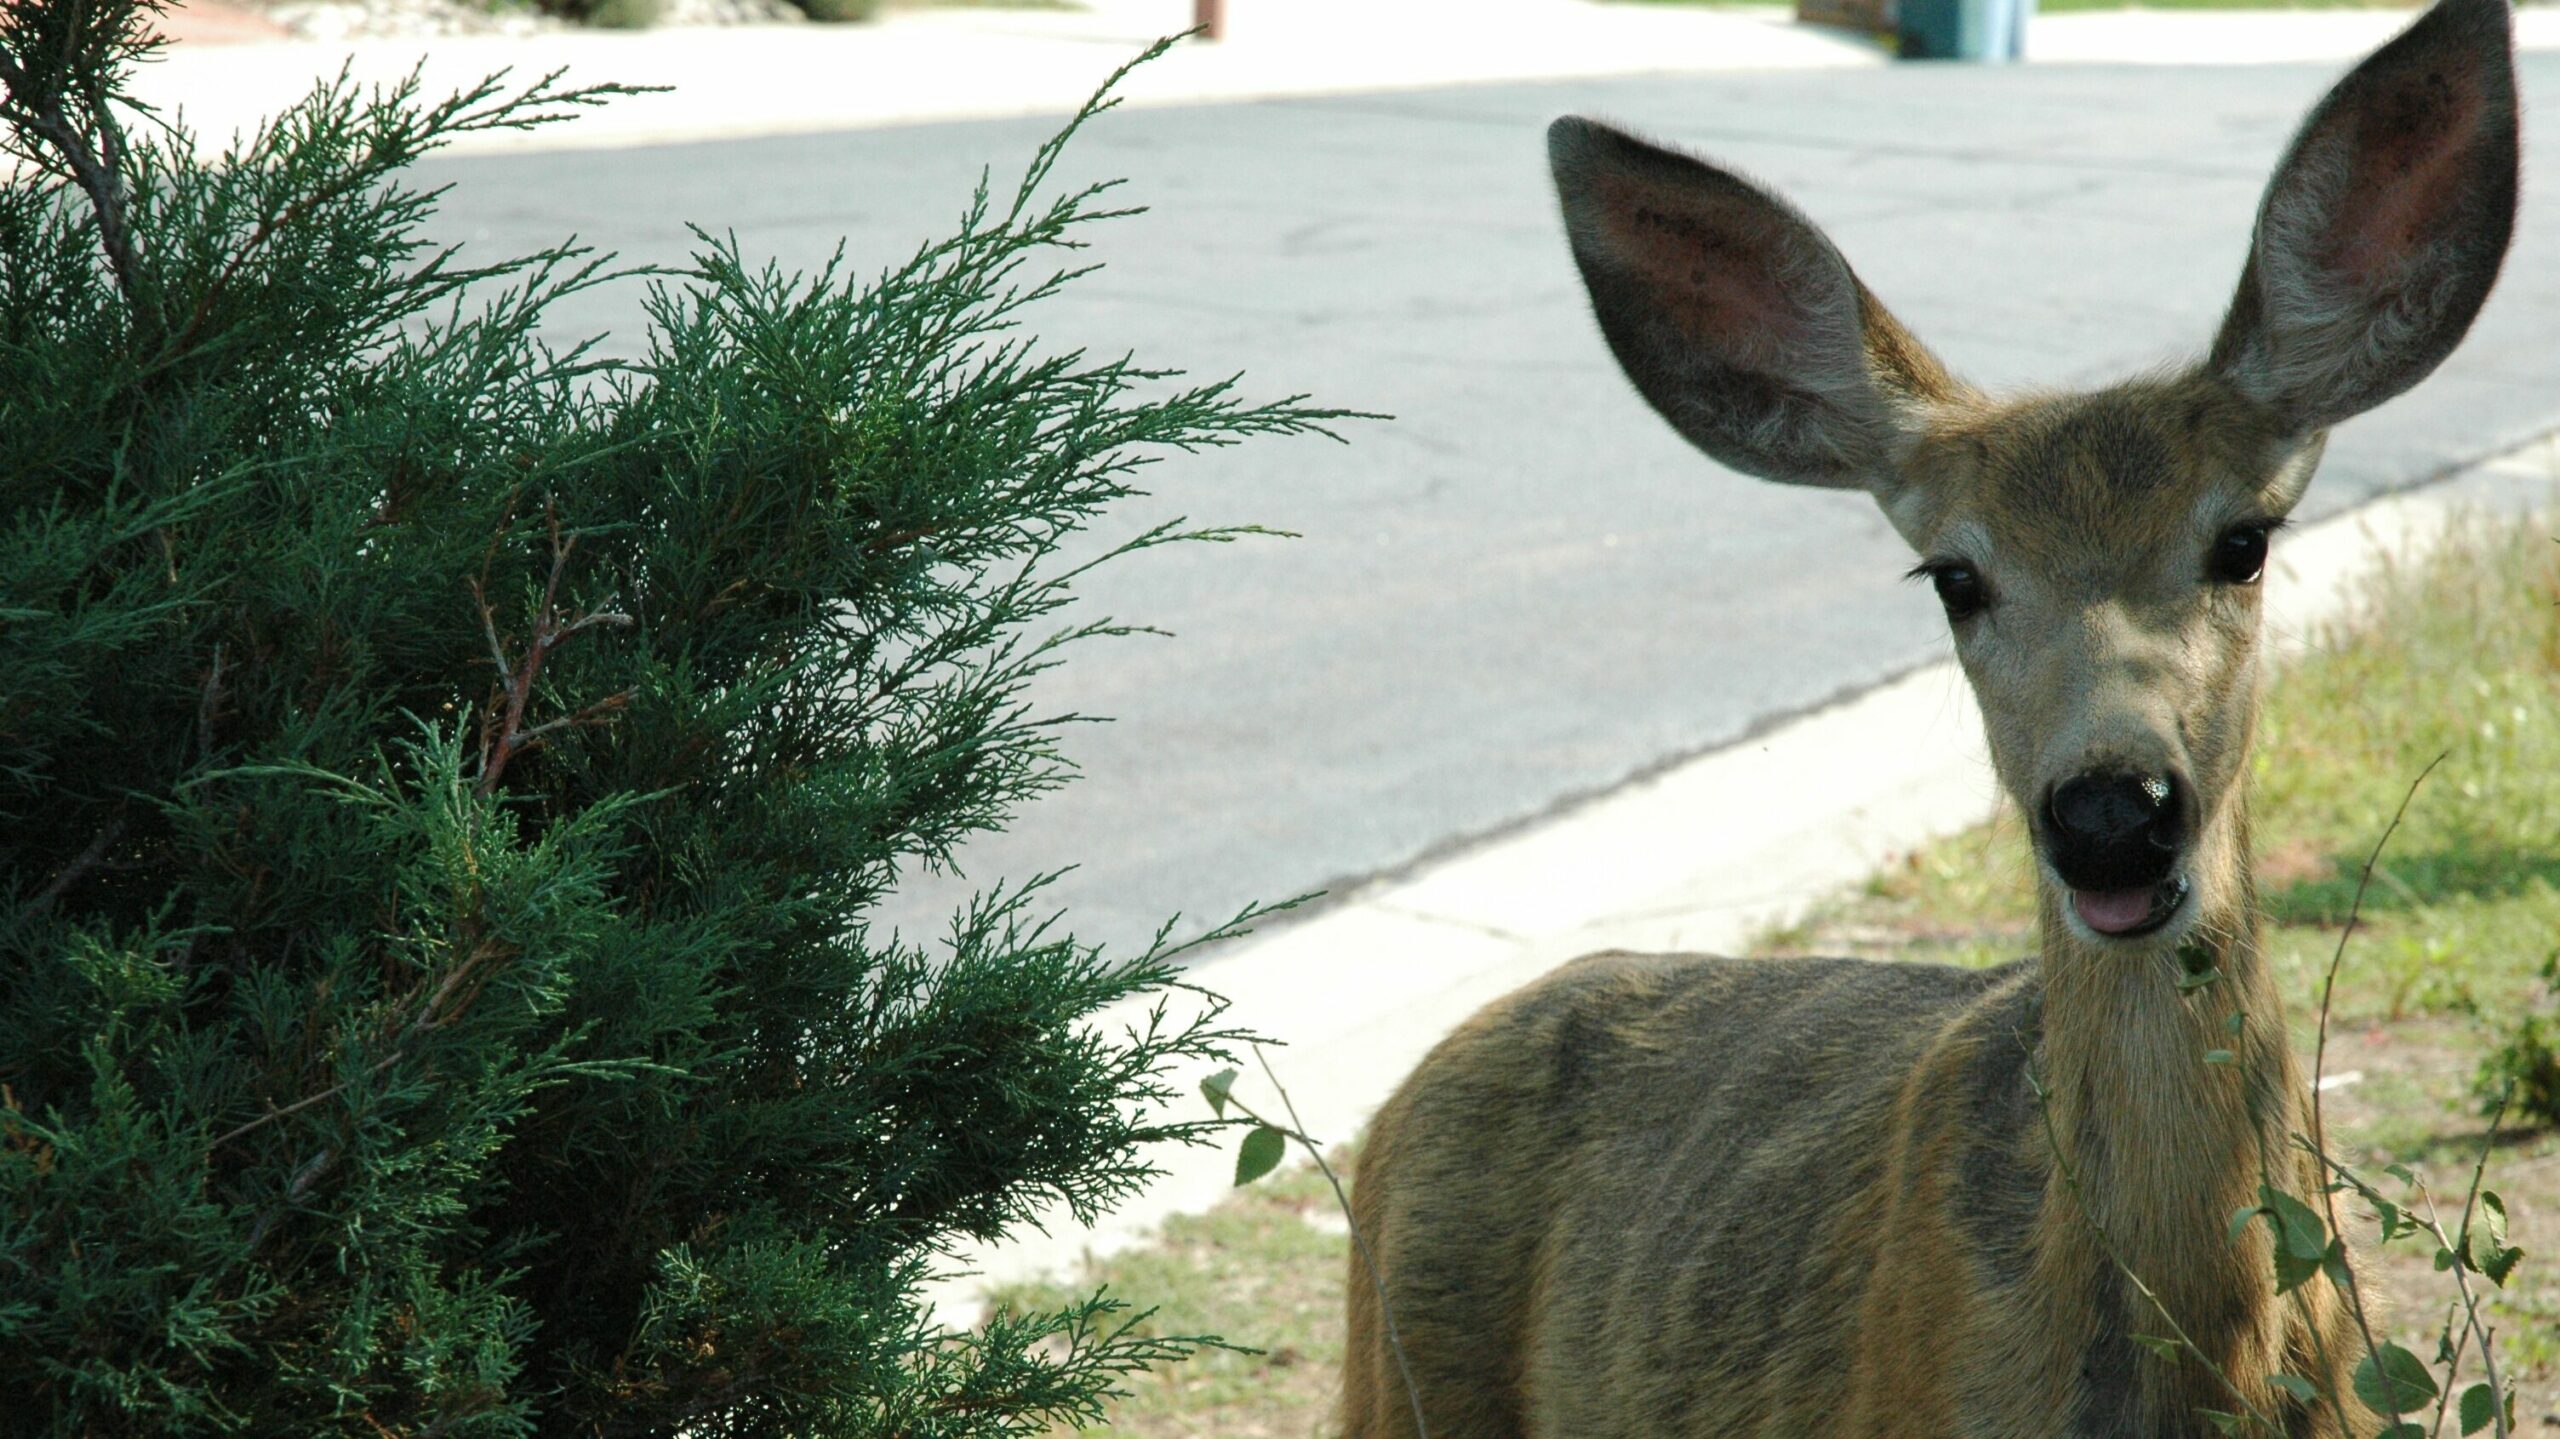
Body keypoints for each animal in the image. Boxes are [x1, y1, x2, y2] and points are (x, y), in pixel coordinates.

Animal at [1341, 0, 2519, 1423]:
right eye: (1955, 576)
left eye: (2241, 540)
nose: (2111, 812)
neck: (2196, 1369)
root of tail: (1403, 1097)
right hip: (1393, 1377)